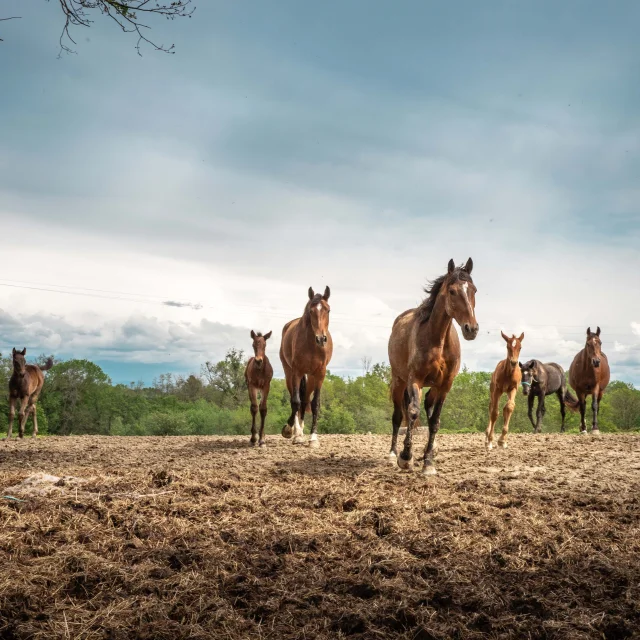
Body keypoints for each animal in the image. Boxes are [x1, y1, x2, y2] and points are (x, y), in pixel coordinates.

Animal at [279, 286, 333, 447]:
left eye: (328, 310)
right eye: (311, 311)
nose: (321, 339)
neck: (311, 345)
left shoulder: (320, 374)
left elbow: (314, 404)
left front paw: (313, 438)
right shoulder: (297, 372)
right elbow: (295, 401)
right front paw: (291, 431)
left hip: (311, 377)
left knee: (304, 400)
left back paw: (301, 430)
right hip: (289, 373)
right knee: (295, 399)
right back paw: (296, 431)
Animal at [388, 258, 479, 475]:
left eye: (474, 290)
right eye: (452, 291)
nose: (471, 329)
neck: (437, 340)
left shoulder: (445, 385)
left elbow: (435, 420)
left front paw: (428, 461)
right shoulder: (415, 380)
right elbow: (413, 413)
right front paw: (406, 457)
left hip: (433, 387)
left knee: (428, 411)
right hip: (398, 381)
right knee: (398, 416)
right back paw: (393, 454)